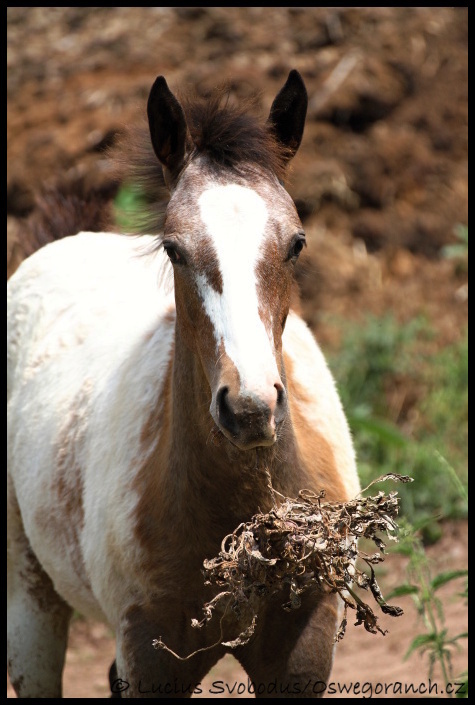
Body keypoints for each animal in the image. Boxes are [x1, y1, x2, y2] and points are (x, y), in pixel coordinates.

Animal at [6, 69, 360, 696]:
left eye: (296, 243)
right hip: (30, 600)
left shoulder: (304, 646)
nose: (249, 408)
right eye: (173, 248)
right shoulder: (150, 654)